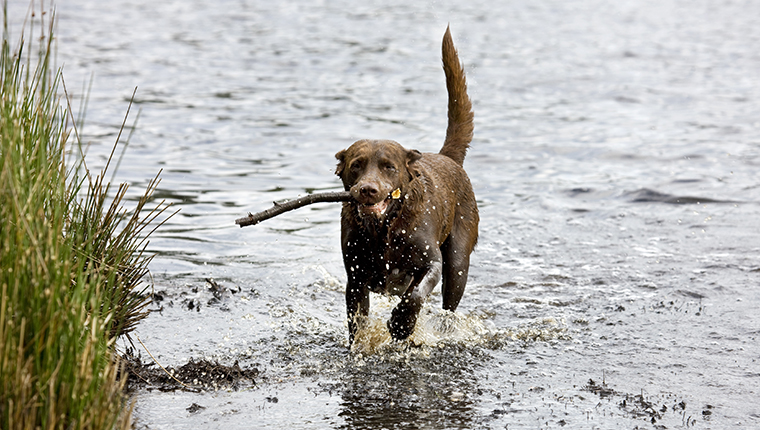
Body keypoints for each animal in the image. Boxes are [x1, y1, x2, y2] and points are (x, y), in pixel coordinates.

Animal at [336, 26, 478, 342]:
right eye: (356, 165)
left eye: (389, 166)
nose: (368, 190)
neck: (384, 229)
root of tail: (446, 157)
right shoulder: (355, 277)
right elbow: (357, 321)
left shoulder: (431, 263)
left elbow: (415, 295)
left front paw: (402, 324)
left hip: (458, 261)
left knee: (449, 302)